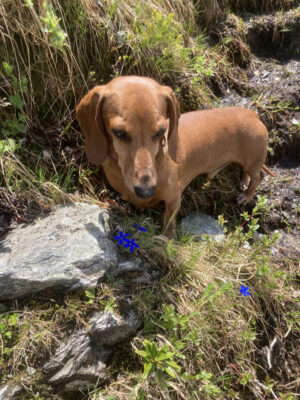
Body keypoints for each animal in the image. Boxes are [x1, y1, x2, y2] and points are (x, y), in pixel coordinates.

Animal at [76, 76, 274, 238]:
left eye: (160, 132)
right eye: (118, 133)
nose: (146, 191)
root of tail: (253, 114)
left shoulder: (174, 199)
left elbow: (169, 222)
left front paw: (168, 238)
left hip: (252, 161)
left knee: (259, 175)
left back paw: (246, 195)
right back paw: (243, 182)